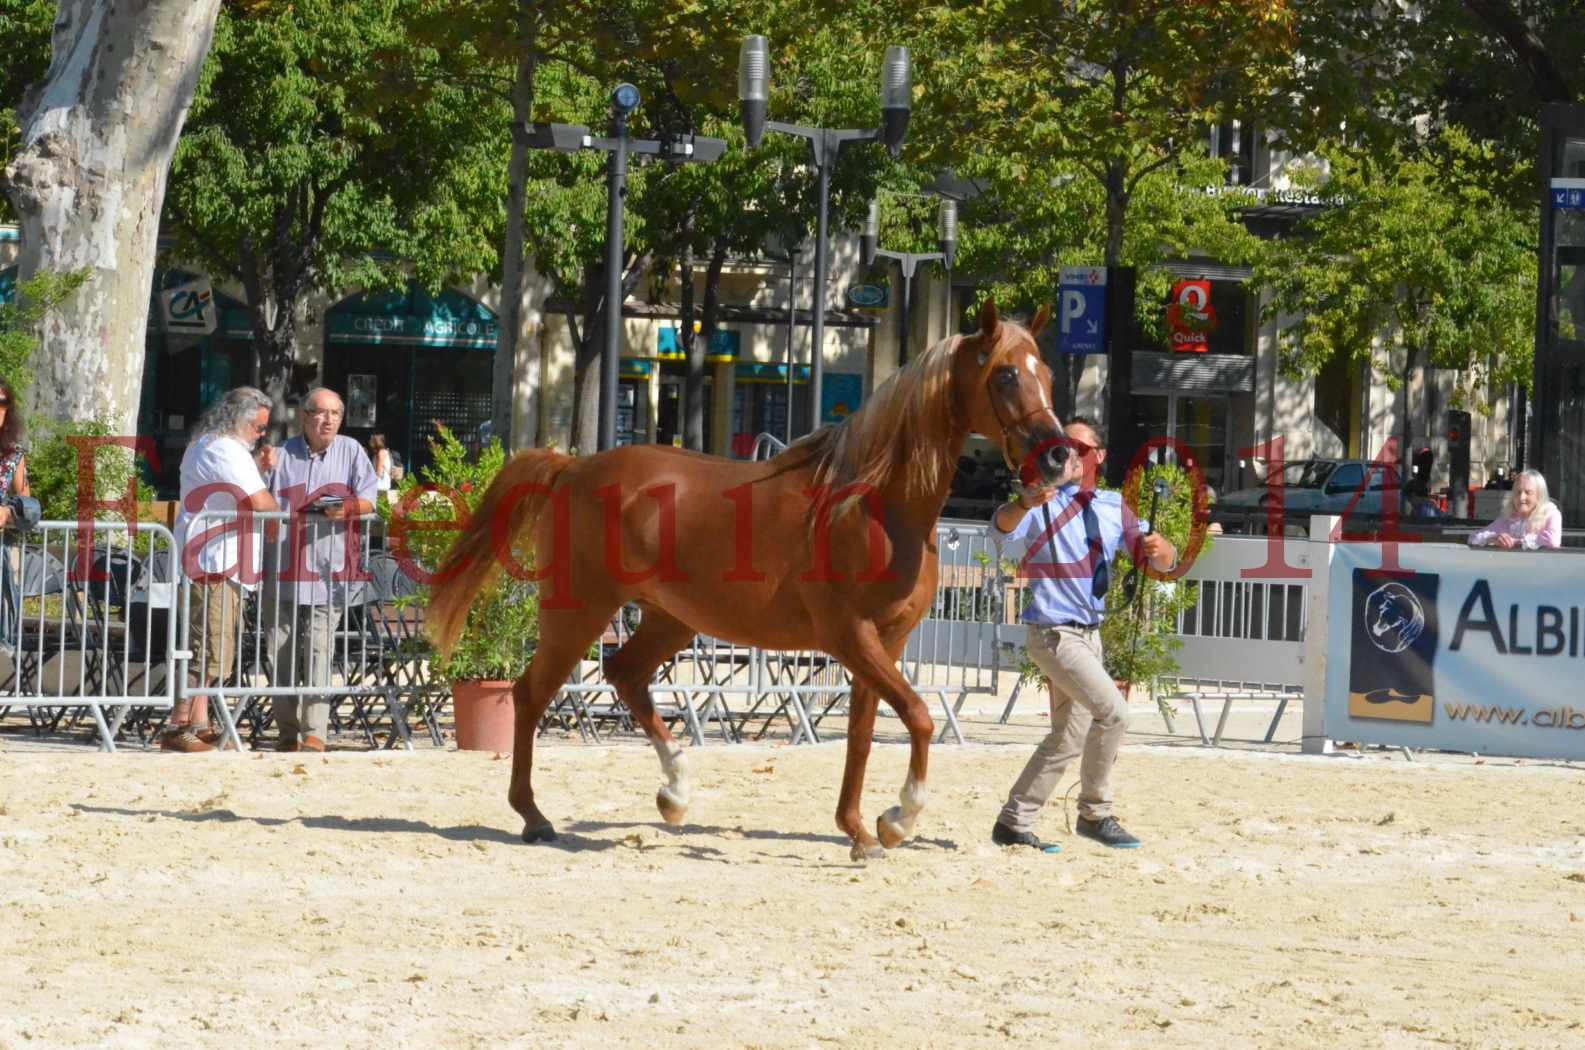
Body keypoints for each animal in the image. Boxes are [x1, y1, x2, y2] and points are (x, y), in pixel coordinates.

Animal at [427, 299, 1065, 862]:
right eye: (1006, 374)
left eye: (1048, 374)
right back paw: (534, 816)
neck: (874, 504)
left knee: (625, 675)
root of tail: (573, 468)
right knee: (532, 694)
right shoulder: (850, 636)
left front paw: (859, 830)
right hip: (578, 611)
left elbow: (864, 734)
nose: (1058, 457)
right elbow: (920, 716)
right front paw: (899, 819)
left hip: (671, 619)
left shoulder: (884, 643)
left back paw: (675, 793)